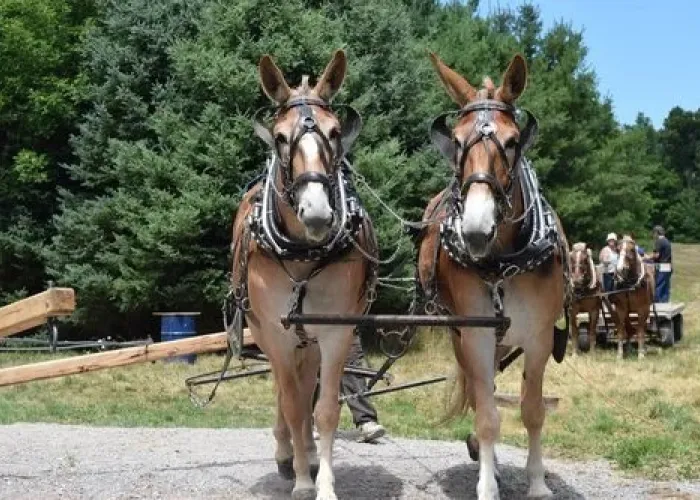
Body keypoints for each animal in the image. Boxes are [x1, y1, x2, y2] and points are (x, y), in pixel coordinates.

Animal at [230, 50, 376, 500]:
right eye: (280, 137)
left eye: (334, 132)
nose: (316, 212)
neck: (301, 253)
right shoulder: (275, 335)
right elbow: (293, 406)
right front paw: (299, 480)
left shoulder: (335, 331)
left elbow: (325, 410)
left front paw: (322, 480)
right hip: (266, 332)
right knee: (284, 391)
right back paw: (286, 454)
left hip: (309, 338)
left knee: (307, 382)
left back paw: (308, 454)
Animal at [418, 53, 569, 499]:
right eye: (456, 141)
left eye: (513, 141)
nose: (475, 230)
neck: (503, 262)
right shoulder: (476, 336)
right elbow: (487, 416)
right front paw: (487, 483)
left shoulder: (538, 339)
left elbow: (532, 411)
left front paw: (537, 483)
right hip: (462, 337)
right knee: (477, 393)